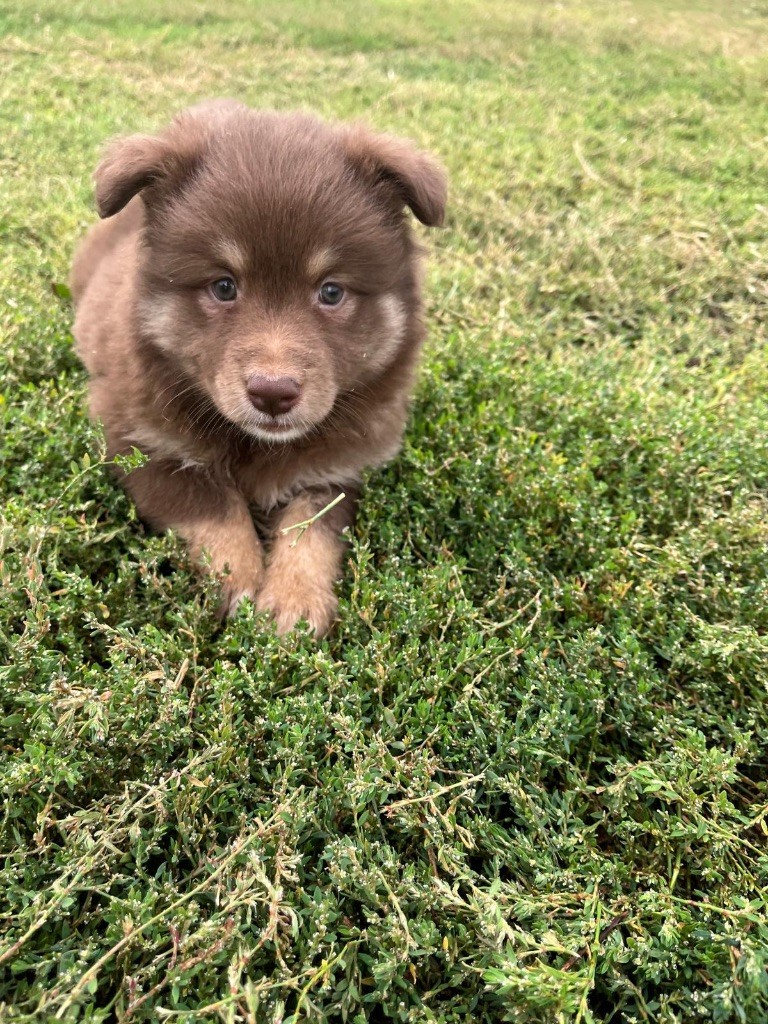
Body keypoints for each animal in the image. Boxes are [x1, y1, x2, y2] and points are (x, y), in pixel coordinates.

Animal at [71, 100, 446, 635]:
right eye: (224, 286)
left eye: (332, 291)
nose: (273, 393)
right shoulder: (136, 437)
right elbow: (213, 505)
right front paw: (240, 581)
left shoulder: (342, 467)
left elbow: (312, 525)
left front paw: (294, 598)